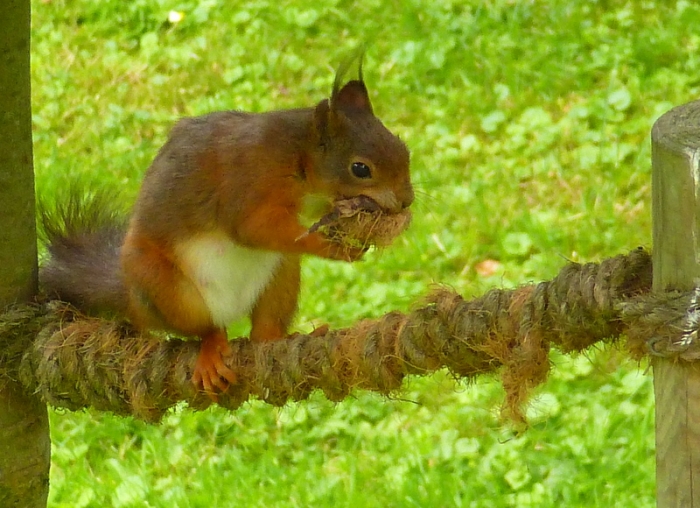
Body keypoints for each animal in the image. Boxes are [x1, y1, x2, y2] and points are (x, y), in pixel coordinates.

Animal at [40, 63, 414, 399]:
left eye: (402, 147)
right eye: (360, 168)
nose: (407, 200)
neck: (296, 156)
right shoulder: (247, 184)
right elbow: (251, 229)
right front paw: (332, 247)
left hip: (280, 275)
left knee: (264, 326)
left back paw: (278, 338)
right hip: (165, 288)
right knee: (204, 328)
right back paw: (210, 350)